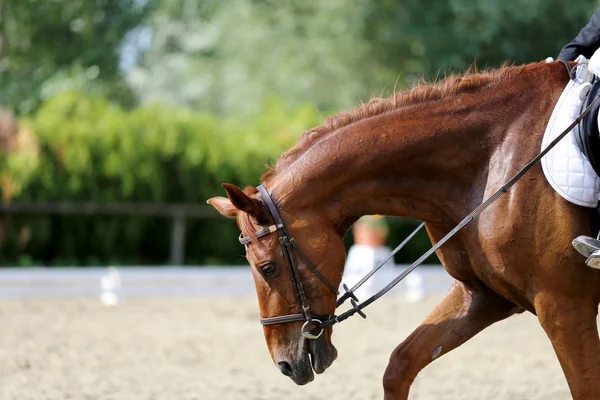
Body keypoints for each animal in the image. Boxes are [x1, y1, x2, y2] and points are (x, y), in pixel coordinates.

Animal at [209, 61, 600, 398]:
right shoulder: (483, 295)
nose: (286, 365)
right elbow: (400, 365)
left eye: (267, 268)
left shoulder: (563, 305)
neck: (492, 162)